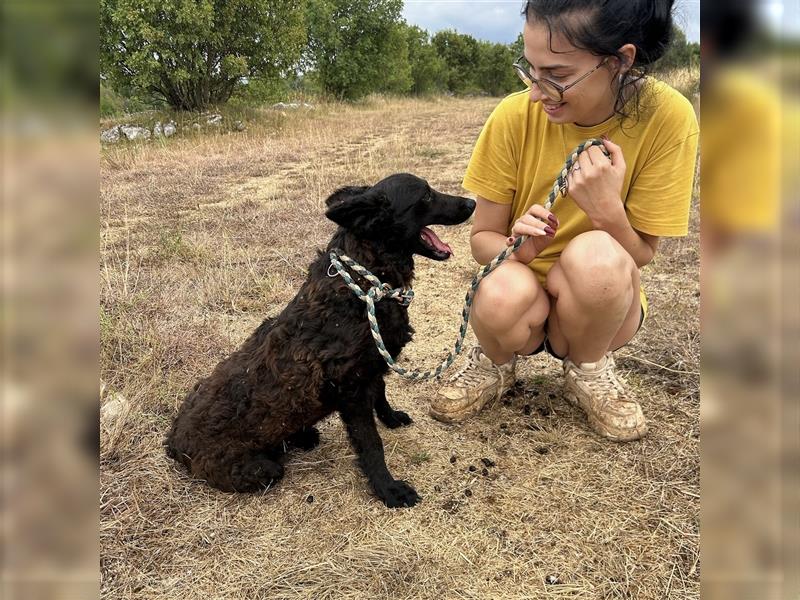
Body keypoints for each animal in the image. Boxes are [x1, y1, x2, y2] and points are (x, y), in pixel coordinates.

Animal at [165, 173, 472, 506]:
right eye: (426, 196)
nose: (473, 203)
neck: (366, 286)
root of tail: (174, 442)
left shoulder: (373, 368)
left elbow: (381, 393)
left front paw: (390, 418)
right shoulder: (352, 391)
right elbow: (371, 444)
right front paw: (388, 489)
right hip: (263, 470)